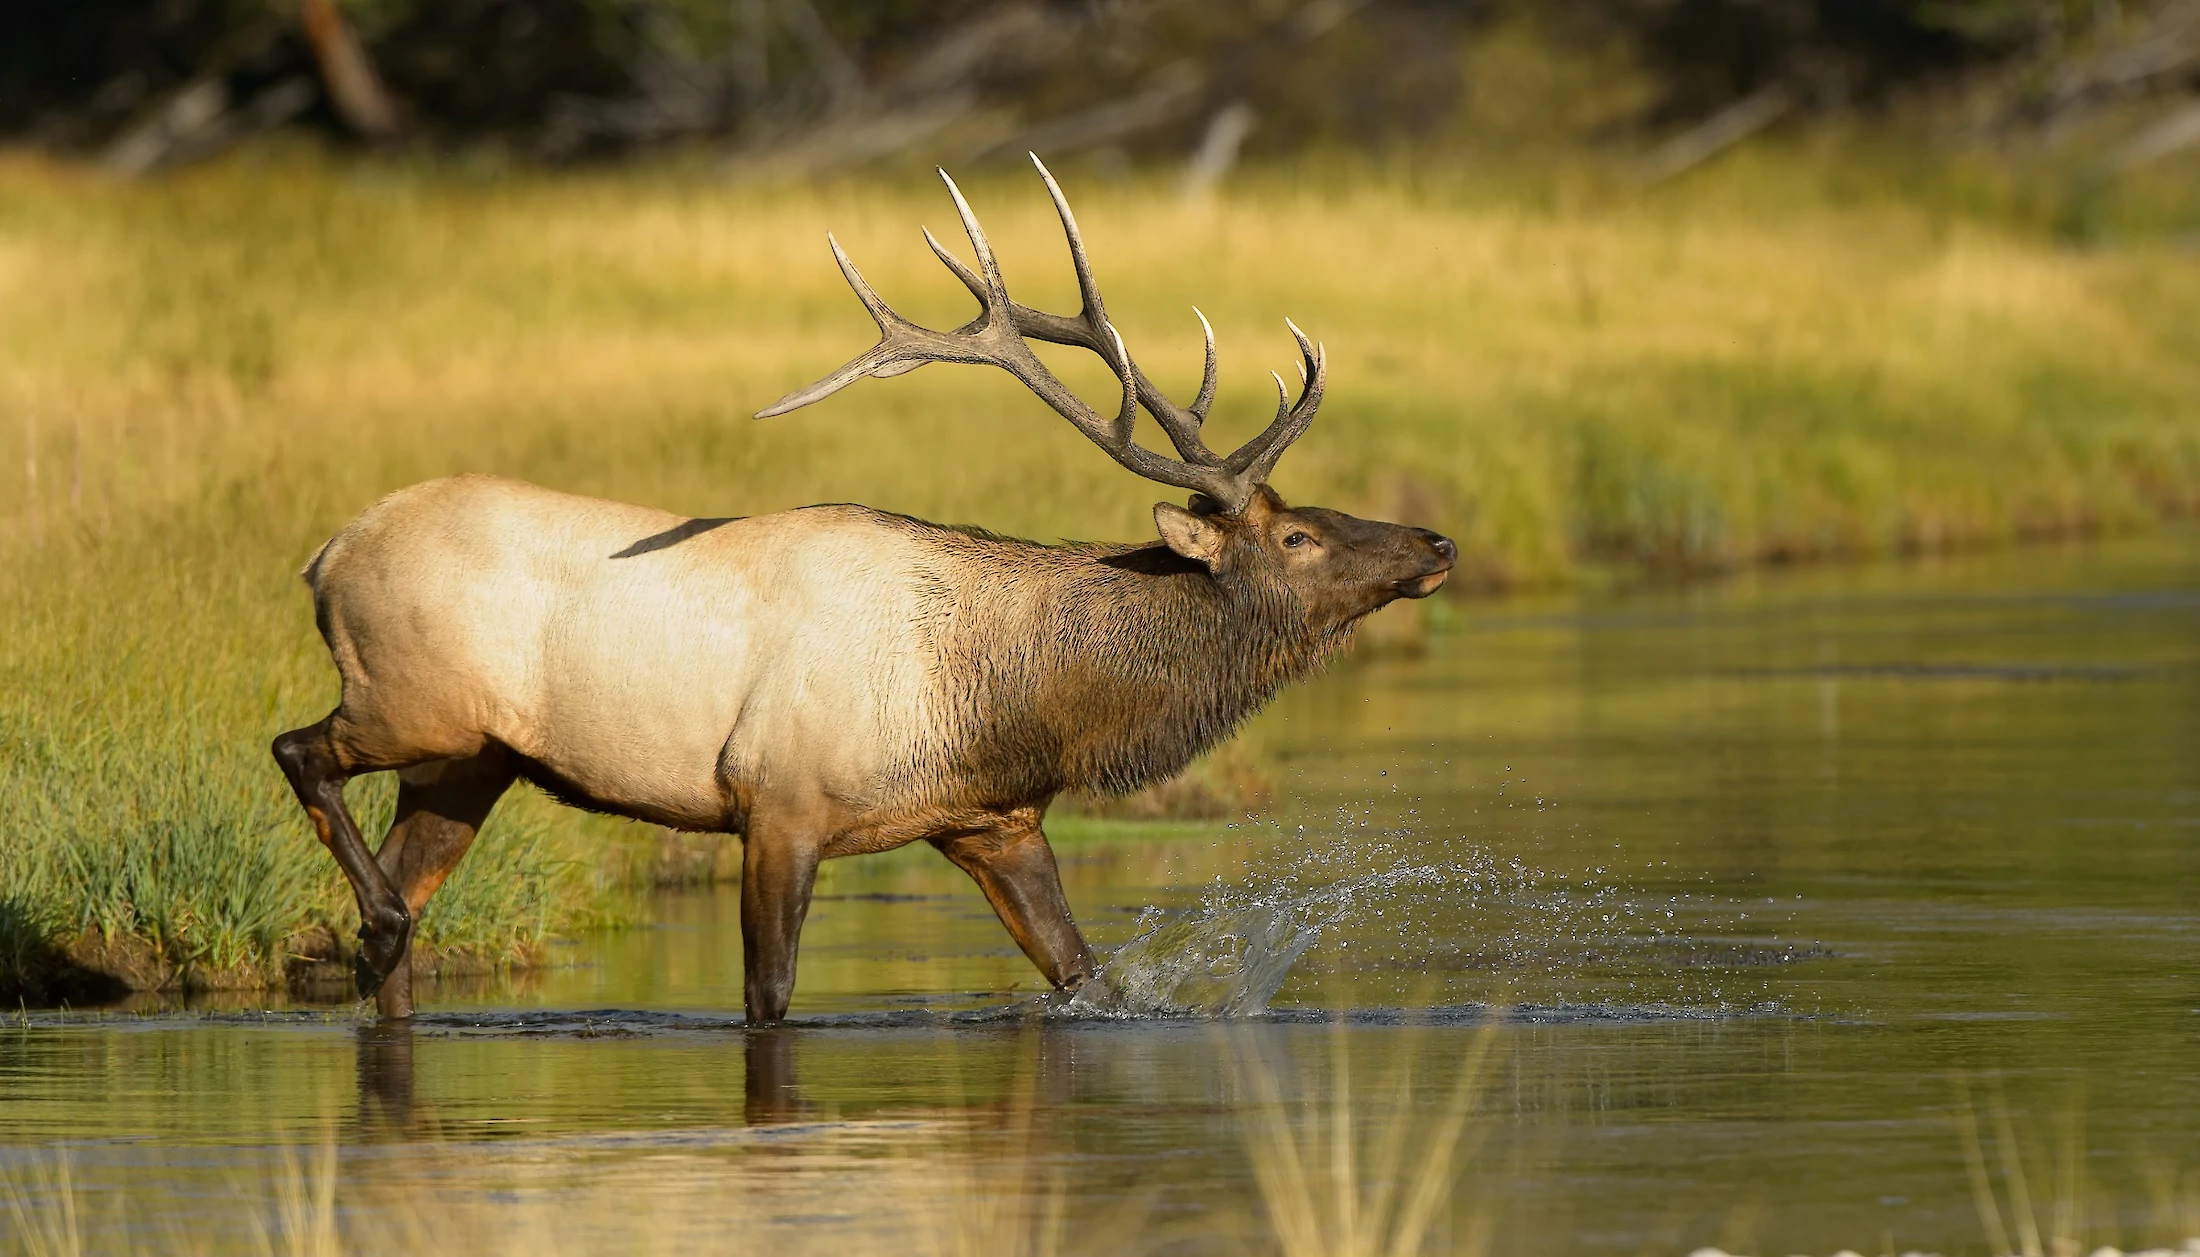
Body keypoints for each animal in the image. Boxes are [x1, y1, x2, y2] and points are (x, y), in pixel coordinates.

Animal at [275, 157, 1452, 1021]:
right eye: (1298, 535)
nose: (1436, 541)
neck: (1006, 699)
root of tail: (326, 554)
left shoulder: (993, 819)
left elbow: (1083, 972)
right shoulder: (778, 800)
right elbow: (770, 996)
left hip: (468, 761)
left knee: (400, 909)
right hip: (410, 700)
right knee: (298, 752)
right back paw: (375, 918)